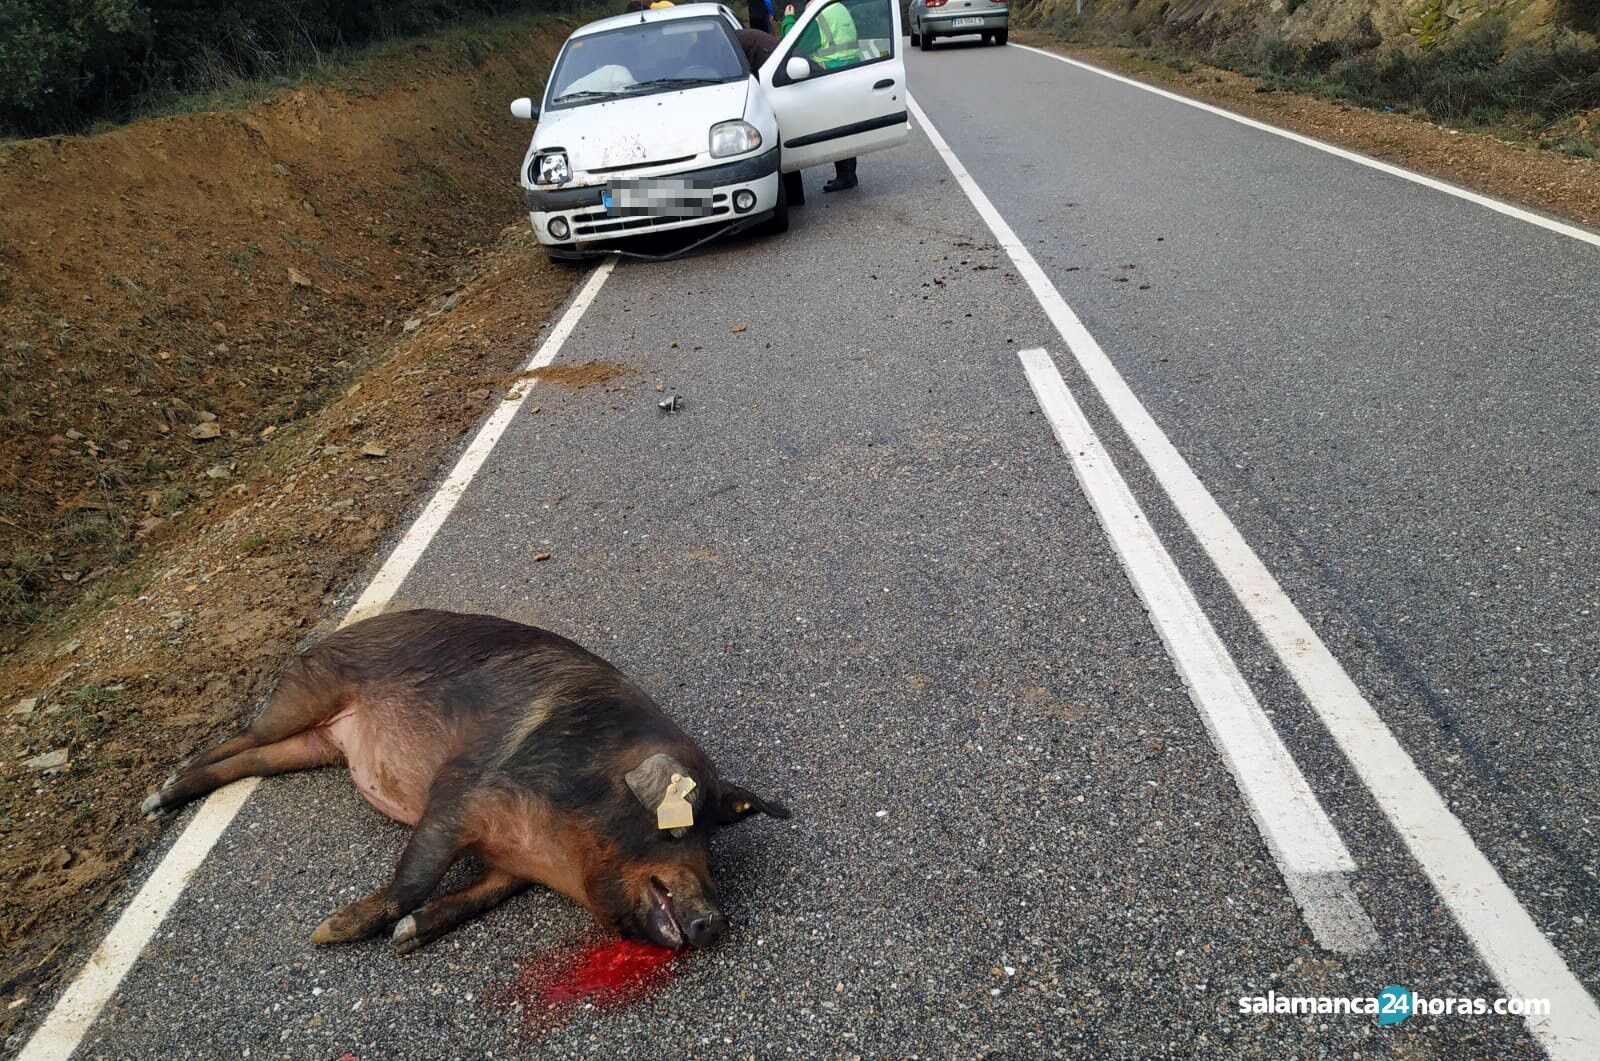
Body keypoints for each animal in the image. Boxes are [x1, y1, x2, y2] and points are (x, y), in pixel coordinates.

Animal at [141, 609, 789, 953]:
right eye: (678, 830)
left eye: (712, 840)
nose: (717, 921)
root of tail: (336, 630)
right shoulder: (459, 795)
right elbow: (414, 878)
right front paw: (328, 933)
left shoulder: (509, 866)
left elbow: (474, 897)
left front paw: (406, 936)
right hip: (305, 693)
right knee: (239, 738)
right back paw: (158, 795)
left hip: (311, 746)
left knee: (250, 761)